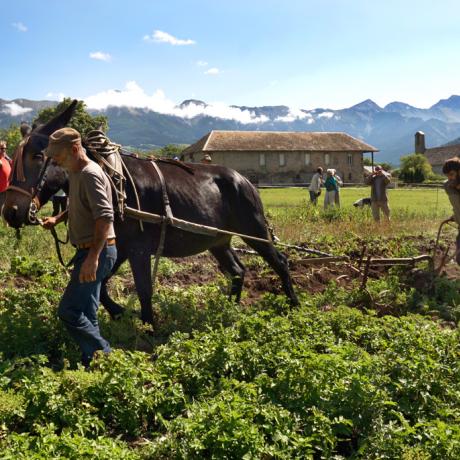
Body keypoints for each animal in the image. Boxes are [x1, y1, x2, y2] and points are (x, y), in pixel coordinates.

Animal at [2, 100, 298, 324]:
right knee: (237, 271)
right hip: (217, 240)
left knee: (280, 262)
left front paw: (148, 327)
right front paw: (120, 312)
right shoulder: (119, 246)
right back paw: (229, 310)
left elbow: (144, 289)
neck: (111, 180)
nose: (11, 212)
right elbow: (103, 285)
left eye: (37, 156)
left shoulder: (139, 249)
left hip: (254, 230)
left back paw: (294, 306)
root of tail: (244, 180)